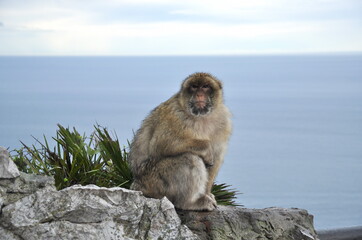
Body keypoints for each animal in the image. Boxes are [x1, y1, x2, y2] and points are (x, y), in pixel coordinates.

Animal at [129, 72, 232, 211]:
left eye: (205, 87)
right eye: (194, 86)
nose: (199, 94)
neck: (201, 117)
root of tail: (137, 185)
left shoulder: (224, 121)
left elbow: (216, 159)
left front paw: (207, 193)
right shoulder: (174, 115)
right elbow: (160, 144)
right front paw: (206, 149)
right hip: (154, 183)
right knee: (189, 158)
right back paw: (189, 202)